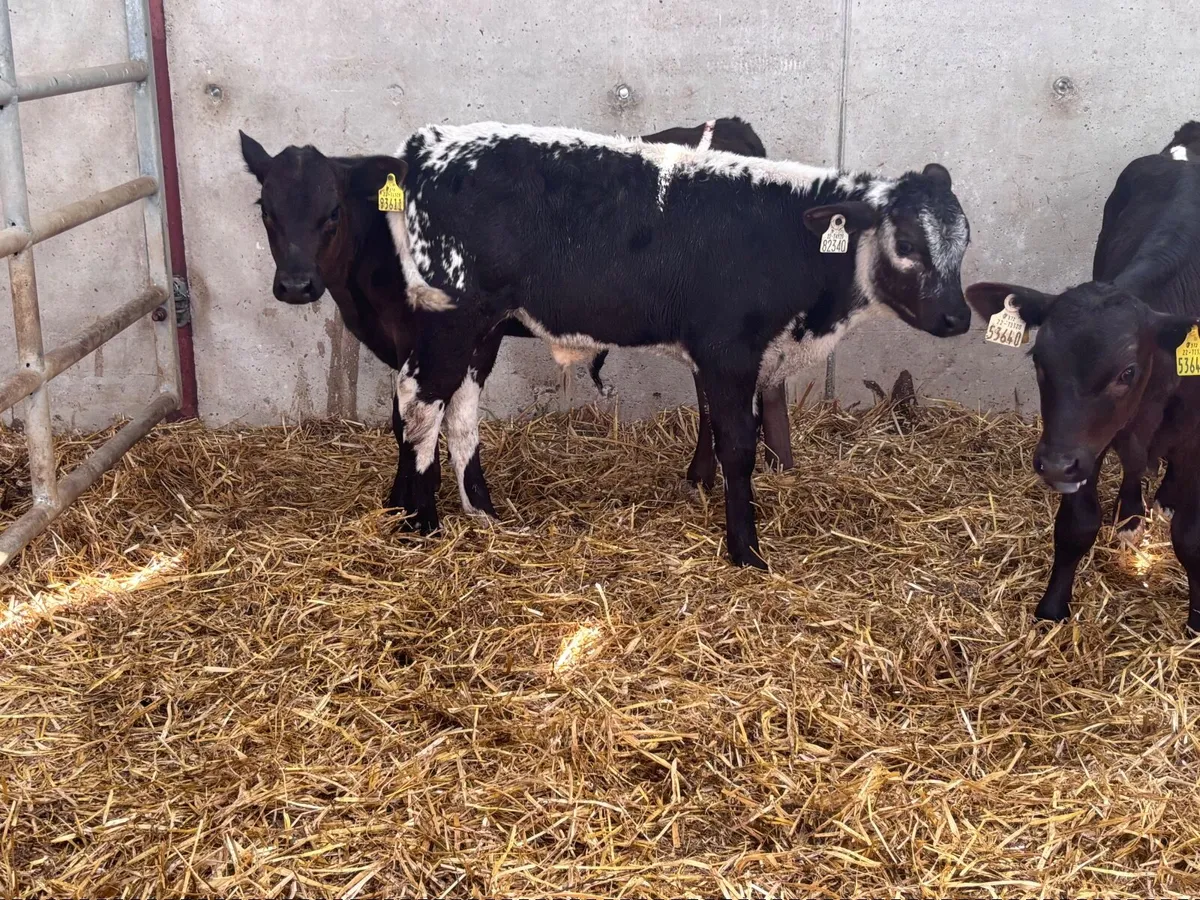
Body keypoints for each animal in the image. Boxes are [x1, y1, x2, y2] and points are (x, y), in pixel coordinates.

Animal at [239, 118, 794, 528]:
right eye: (265, 209)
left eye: (332, 212)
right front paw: (404, 501)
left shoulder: (459, 334)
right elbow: (412, 420)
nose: (296, 285)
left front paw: (433, 503)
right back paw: (714, 475)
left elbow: (433, 417)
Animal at [377, 121, 972, 567]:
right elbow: (739, 445)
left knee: (457, 408)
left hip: (485, 327)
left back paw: (477, 510)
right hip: (452, 316)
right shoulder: (729, 352)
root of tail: (428, 144)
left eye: (964, 241)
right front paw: (746, 551)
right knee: (419, 401)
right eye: (907, 243)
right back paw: (421, 522)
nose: (958, 316)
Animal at [966, 152, 1200, 633]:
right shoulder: (1087, 442)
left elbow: (1191, 537)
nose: (1054, 464)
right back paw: (1130, 515)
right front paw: (1052, 609)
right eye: (1038, 359)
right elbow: (1076, 525)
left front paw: (1198, 622)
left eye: (1127, 372)